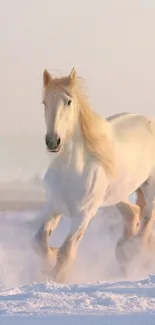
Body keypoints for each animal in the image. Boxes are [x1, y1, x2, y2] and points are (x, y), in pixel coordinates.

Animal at [34, 67, 155, 280]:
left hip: (149, 188)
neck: (71, 169)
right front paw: (50, 259)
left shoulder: (83, 215)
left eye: (68, 101)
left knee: (146, 220)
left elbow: (66, 253)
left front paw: (56, 278)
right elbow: (39, 241)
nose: (53, 141)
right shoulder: (53, 205)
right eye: (44, 102)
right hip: (116, 194)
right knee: (133, 214)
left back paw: (133, 255)